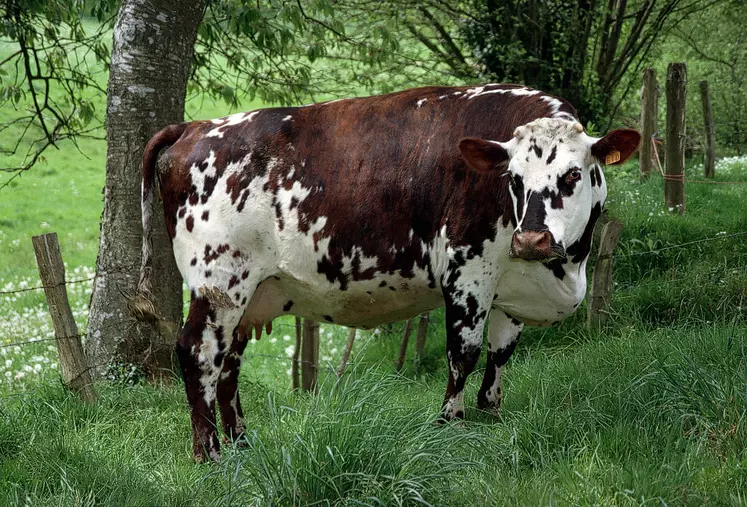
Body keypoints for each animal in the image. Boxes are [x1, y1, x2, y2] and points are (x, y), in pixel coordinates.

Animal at [131, 84, 640, 464]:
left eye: (573, 174)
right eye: (513, 179)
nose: (532, 239)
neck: (564, 270)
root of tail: (195, 126)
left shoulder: (509, 286)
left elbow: (500, 354)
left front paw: (492, 415)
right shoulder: (468, 268)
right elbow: (464, 353)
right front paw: (449, 425)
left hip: (249, 294)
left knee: (229, 363)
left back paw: (241, 445)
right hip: (218, 282)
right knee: (199, 353)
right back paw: (210, 455)